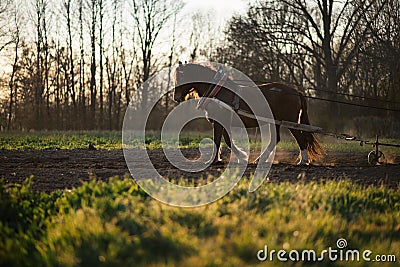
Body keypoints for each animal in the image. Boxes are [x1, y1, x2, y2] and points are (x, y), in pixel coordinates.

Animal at [173, 62, 324, 165]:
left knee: (300, 138)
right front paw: (240, 157)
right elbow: (226, 140)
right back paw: (260, 159)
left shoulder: (219, 121)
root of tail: (296, 92)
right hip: (275, 122)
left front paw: (214, 160)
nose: (176, 97)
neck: (218, 92)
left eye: (182, 77)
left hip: (290, 121)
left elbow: (219, 140)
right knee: (275, 139)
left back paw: (303, 161)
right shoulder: (222, 122)